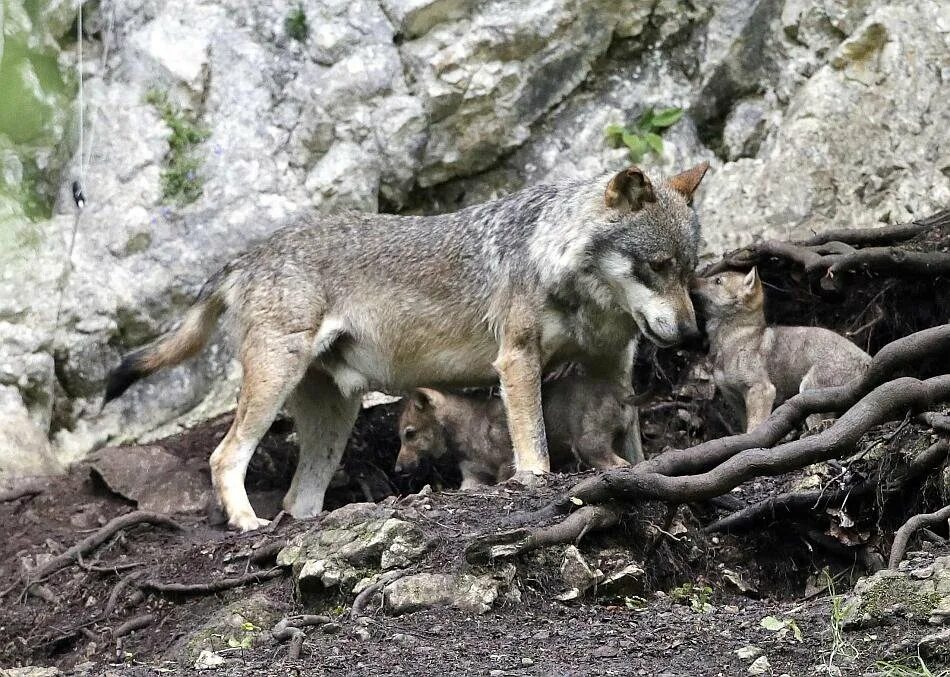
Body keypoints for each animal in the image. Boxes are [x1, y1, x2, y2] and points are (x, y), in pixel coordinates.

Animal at [108, 161, 712, 532]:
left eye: (688, 272)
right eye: (657, 267)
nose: (690, 335)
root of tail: (247, 256)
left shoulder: (615, 367)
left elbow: (632, 445)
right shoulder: (517, 360)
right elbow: (535, 449)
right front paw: (535, 484)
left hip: (334, 419)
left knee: (297, 500)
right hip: (275, 384)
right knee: (224, 455)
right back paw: (246, 524)